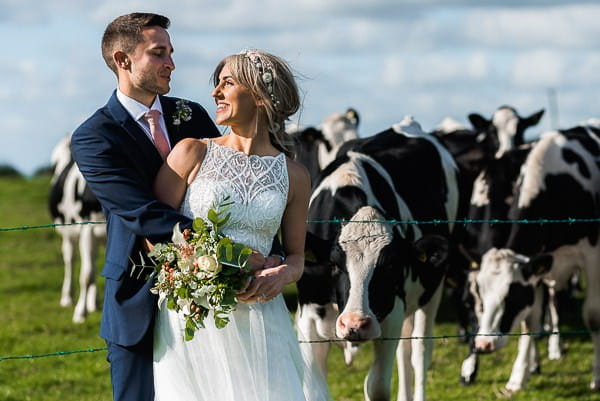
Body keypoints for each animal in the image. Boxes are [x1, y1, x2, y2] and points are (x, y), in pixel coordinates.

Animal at [49, 136, 106, 324]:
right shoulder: (87, 229)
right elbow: (86, 276)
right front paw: (80, 313)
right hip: (68, 233)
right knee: (70, 261)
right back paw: (67, 298)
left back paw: (93, 303)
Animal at [296, 116, 460, 400]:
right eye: (335, 265)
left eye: (392, 265)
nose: (355, 324)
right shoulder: (307, 319)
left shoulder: (392, 313)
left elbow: (377, 386)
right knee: (405, 353)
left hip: (433, 288)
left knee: (419, 352)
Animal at [472, 124, 600, 390]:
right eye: (481, 292)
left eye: (512, 295)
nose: (483, 345)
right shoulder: (536, 269)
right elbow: (529, 322)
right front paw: (519, 376)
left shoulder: (593, 256)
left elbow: (593, 316)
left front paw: (597, 377)